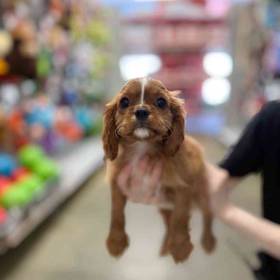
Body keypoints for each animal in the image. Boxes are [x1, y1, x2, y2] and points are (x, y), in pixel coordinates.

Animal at [102, 78, 217, 262]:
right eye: (124, 102)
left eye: (161, 102)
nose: (141, 111)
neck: (142, 148)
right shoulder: (117, 183)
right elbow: (116, 212)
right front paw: (116, 241)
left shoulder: (184, 187)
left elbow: (180, 216)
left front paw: (180, 247)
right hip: (164, 207)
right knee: (168, 223)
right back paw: (165, 247)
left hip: (201, 194)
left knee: (207, 213)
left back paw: (208, 240)